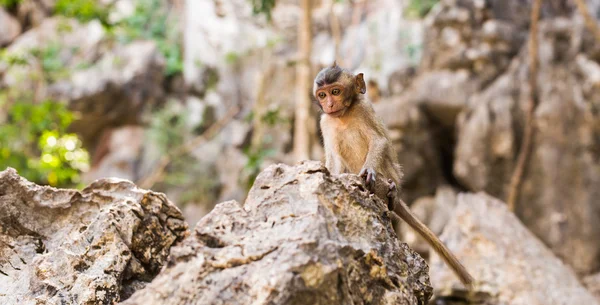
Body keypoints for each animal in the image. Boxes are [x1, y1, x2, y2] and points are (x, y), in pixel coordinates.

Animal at [312, 62, 476, 288]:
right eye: (322, 94)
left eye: (335, 92)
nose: (328, 104)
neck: (344, 115)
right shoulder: (326, 121)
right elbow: (333, 159)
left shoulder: (364, 109)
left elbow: (379, 141)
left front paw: (369, 171)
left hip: (390, 173)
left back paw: (389, 190)